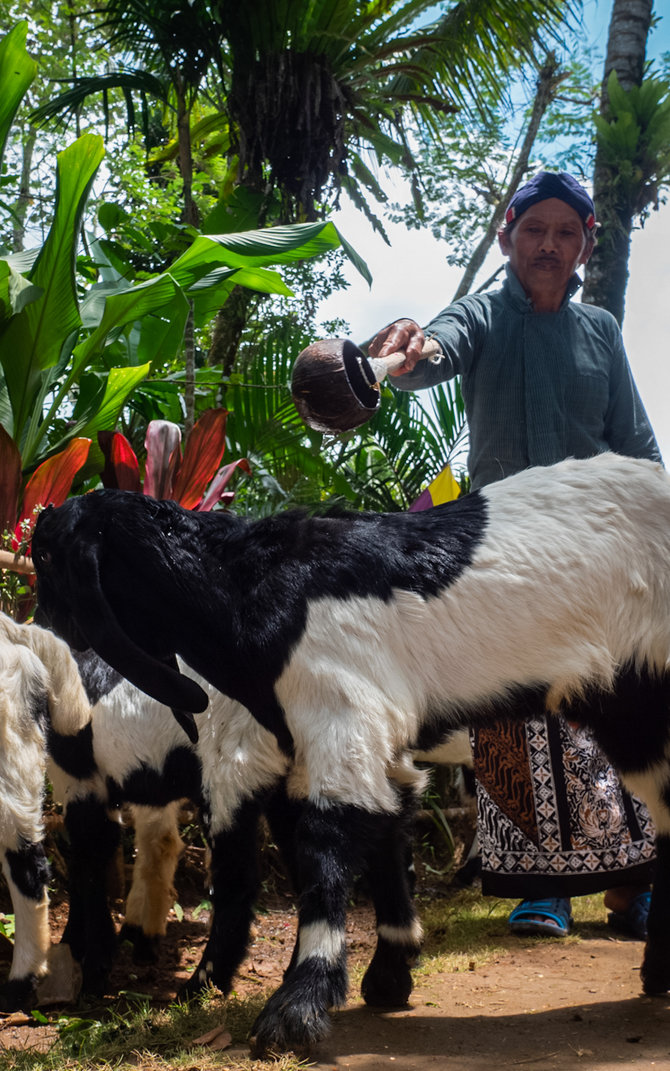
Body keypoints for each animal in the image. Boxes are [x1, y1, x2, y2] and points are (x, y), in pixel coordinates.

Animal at [31, 451, 670, 1053]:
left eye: (46, 560)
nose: (45, 629)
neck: (245, 585)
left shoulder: (324, 715)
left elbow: (311, 842)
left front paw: (291, 1003)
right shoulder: (331, 742)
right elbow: (380, 831)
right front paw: (388, 972)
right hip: (631, 706)